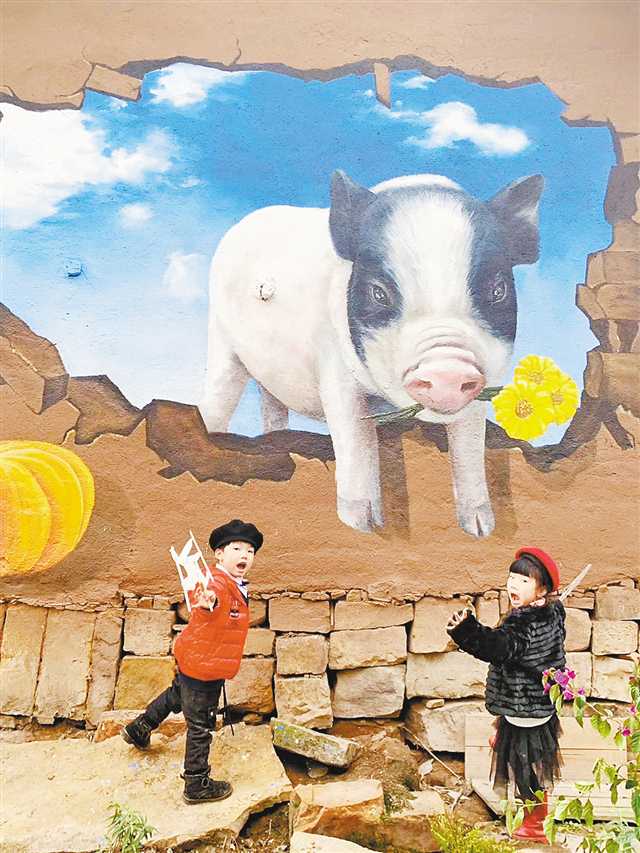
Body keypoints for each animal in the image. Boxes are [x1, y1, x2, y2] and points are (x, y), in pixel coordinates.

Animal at [200, 171, 544, 536]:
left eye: (498, 290)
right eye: (379, 293)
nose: (446, 372)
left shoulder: (483, 385)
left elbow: (469, 448)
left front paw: (480, 530)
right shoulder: (336, 374)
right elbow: (356, 441)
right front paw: (365, 528)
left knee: (272, 403)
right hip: (221, 342)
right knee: (218, 398)